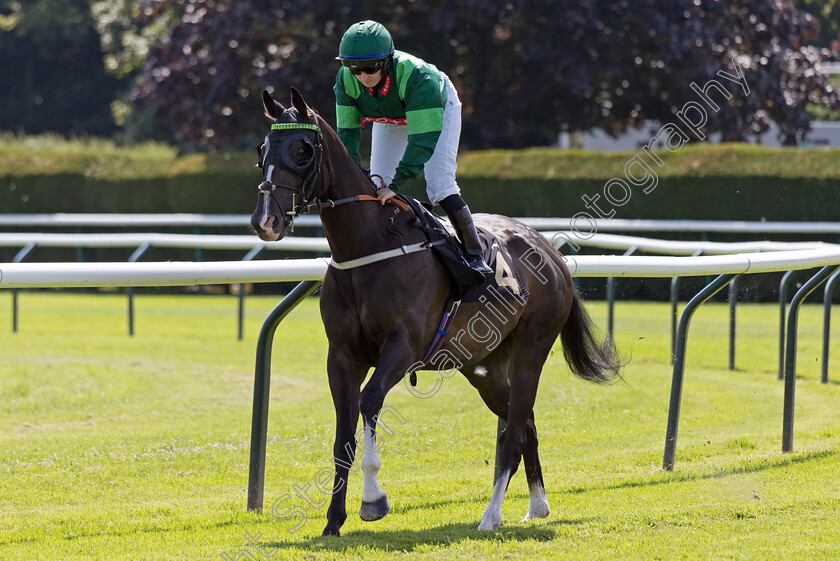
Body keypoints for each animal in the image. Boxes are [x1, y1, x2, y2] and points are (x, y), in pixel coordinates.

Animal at [249, 86, 624, 532]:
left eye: (302, 150)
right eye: (262, 148)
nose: (265, 221)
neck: (368, 247)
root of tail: (550, 252)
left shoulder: (402, 348)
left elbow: (369, 402)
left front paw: (373, 500)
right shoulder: (341, 355)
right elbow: (343, 434)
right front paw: (333, 520)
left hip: (532, 347)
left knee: (515, 430)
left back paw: (491, 515)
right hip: (482, 366)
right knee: (526, 423)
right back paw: (537, 505)